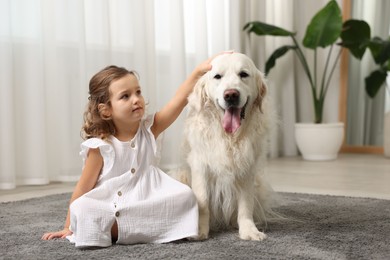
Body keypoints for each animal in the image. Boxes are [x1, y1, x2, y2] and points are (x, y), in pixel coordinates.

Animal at [171, 52, 274, 242]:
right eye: (217, 76)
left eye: (243, 74)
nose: (231, 95)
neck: (228, 137)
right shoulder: (200, 165)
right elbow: (203, 201)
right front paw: (199, 230)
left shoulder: (247, 168)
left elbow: (246, 204)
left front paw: (249, 230)